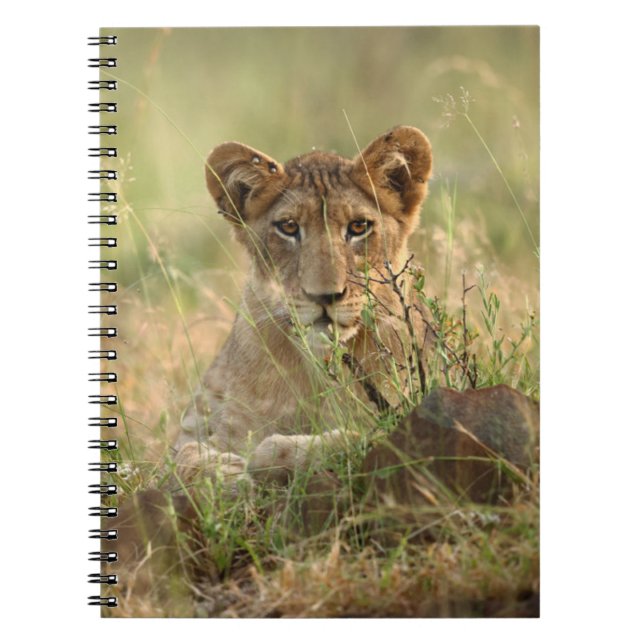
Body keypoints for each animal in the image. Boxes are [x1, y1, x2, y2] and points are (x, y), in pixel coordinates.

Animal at [174, 125, 433, 490]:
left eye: (358, 227)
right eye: (289, 227)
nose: (324, 296)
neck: (318, 369)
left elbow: (356, 437)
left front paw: (268, 456)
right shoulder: (206, 428)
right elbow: (181, 459)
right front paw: (225, 475)